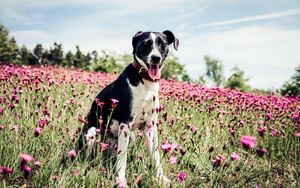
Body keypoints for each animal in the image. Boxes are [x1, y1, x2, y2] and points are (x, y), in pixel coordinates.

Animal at [78, 30, 179, 184]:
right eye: (146, 44)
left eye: (163, 45)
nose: (155, 58)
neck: (145, 81)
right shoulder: (125, 122)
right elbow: (122, 158)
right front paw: (121, 181)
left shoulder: (150, 125)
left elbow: (155, 154)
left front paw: (161, 178)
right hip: (91, 134)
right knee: (86, 158)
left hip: (129, 137)